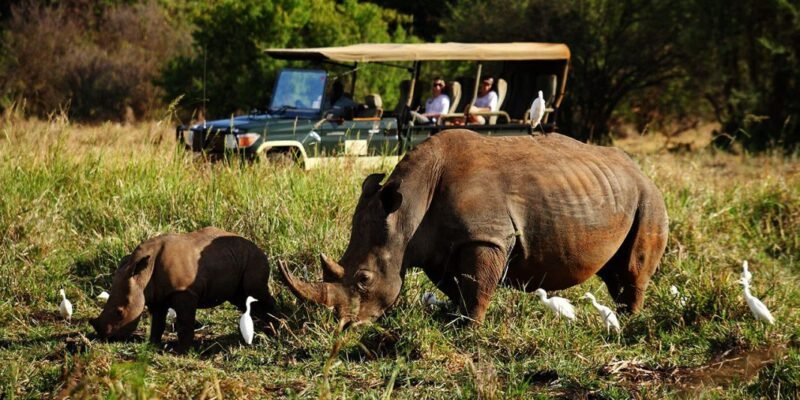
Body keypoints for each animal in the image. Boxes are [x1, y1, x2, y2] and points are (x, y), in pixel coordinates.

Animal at [90, 227, 277, 352]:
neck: (142, 274)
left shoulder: (184, 291)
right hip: (234, 259)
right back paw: (264, 330)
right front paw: (153, 344)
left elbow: (185, 323)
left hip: (254, 258)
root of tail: (258, 246)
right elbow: (157, 322)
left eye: (120, 312)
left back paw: (274, 329)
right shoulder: (157, 295)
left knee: (255, 292)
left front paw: (182, 351)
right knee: (242, 299)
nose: (105, 337)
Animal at [281, 129, 668, 325]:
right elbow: (458, 286)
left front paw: (470, 329)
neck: (408, 210)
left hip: (649, 198)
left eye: (363, 279)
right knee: (614, 270)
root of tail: (640, 169)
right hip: (615, 192)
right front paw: (454, 319)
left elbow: (478, 285)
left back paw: (630, 320)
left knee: (632, 268)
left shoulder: (486, 237)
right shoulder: (439, 246)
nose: (343, 325)